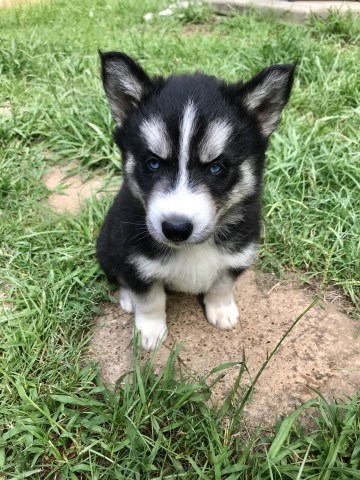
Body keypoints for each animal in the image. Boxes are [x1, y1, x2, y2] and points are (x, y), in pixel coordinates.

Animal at [96, 52, 296, 350]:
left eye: (216, 167)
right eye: (152, 163)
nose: (176, 228)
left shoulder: (240, 252)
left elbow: (223, 284)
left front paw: (222, 310)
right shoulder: (133, 255)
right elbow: (150, 297)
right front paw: (150, 331)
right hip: (107, 244)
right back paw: (128, 297)